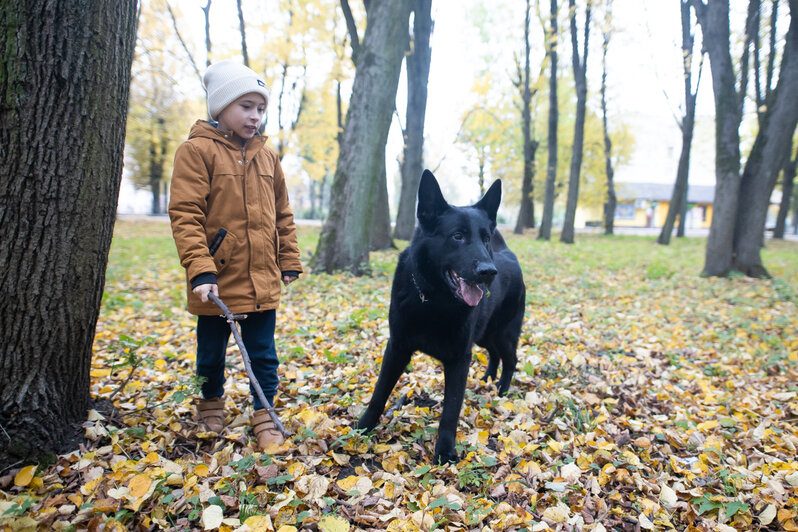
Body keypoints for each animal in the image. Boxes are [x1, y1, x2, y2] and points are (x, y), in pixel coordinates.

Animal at [360, 169, 528, 462]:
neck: (434, 302)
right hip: (485, 336)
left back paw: (501, 391)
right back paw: (487, 379)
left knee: (511, 359)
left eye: (485, 238)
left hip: (503, 334)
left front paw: (445, 451)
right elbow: (379, 393)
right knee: (495, 354)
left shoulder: (459, 358)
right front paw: (362, 428)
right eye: (457, 236)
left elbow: (451, 410)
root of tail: (507, 255)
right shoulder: (397, 348)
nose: (488, 271)